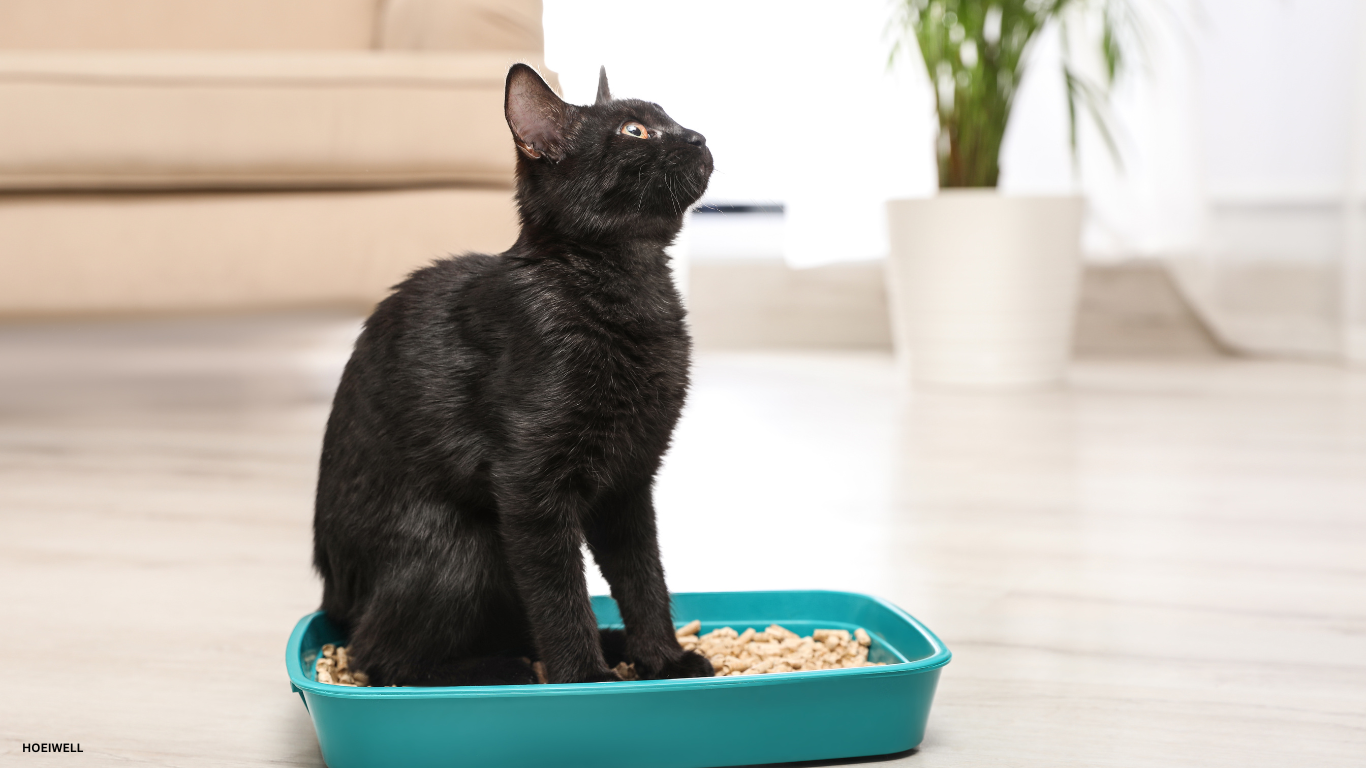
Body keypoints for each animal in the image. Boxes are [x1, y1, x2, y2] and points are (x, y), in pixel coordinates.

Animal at [311, 65, 715, 683]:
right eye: (636, 131)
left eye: (668, 118)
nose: (697, 136)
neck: (632, 287)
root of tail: (334, 596)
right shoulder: (528, 486)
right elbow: (560, 593)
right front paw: (584, 679)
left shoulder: (629, 481)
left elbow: (645, 579)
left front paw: (664, 660)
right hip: (467, 546)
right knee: (377, 657)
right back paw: (504, 669)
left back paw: (610, 645)